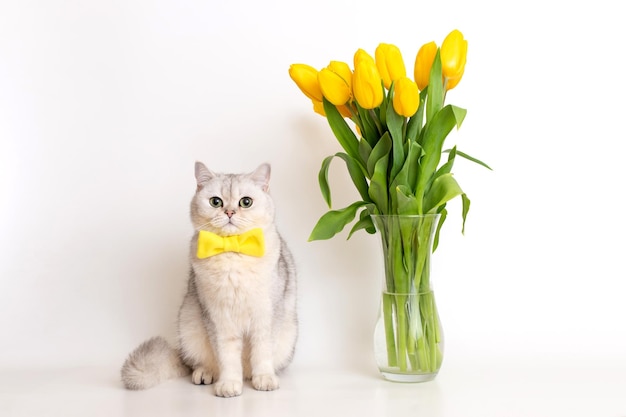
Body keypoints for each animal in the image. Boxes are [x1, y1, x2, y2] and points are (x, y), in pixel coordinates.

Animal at [123, 162, 298, 396]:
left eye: (246, 202)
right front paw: (229, 384)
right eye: (216, 202)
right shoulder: (218, 318)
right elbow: (227, 357)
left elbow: (262, 353)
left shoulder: (267, 315)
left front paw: (264, 379)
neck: (232, 252)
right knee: (202, 363)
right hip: (189, 324)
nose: (230, 211)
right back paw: (206, 374)